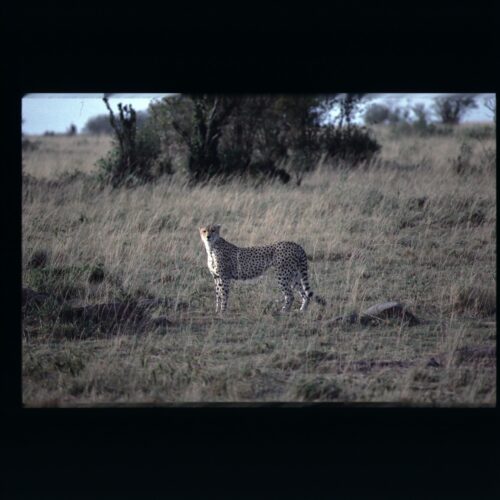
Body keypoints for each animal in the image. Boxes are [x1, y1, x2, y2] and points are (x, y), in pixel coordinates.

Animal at [199, 226, 328, 314]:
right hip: (294, 275)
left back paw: (283, 311)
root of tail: (295, 244)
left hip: (282, 274)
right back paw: (301, 311)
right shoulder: (216, 277)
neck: (211, 247)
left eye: (213, 230)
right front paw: (217, 310)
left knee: (290, 295)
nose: (208, 236)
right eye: (204, 231)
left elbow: (224, 294)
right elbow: (218, 294)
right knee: (305, 294)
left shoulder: (224, 277)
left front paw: (223, 311)